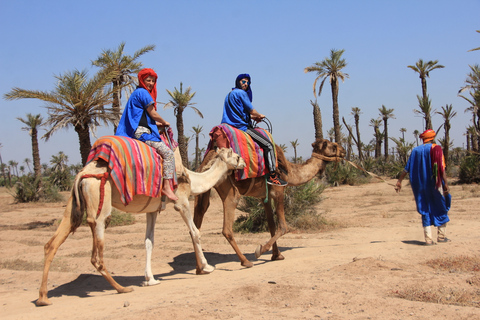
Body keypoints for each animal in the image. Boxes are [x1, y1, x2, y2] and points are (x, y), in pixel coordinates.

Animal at [35, 146, 246, 306]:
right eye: (235, 155)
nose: (243, 162)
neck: (192, 180)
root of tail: (83, 174)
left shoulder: (152, 209)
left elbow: (148, 241)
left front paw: (150, 279)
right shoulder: (181, 201)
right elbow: (194, 232)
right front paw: (207, 267)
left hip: (73, 203)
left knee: (52, 243)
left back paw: (43, 298)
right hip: (99, 201)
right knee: (96, 253)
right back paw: (121, 288)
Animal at [193, 138, 346, 268]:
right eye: (332, 145)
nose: (343, 150)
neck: (289, 172)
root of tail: (208, 160)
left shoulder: (264, 196)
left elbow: (271, 225)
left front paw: (277, 255)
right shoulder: (279, 192)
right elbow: (283, 227)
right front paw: (261, 250)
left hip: (203, 188)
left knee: (197, 222)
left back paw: (200, 267)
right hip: (230, 192)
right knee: (226, 229)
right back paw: (245, 261)